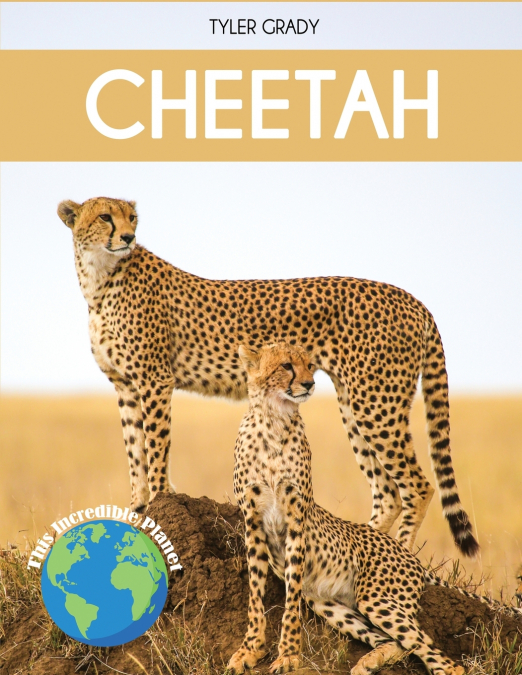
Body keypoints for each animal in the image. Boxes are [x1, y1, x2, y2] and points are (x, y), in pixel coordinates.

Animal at [57, 196, 478, 556]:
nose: (128, 237)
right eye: (105, 217)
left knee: (417, 486)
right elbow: (135, 452)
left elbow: (155, 446)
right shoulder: (125, 385)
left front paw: (162, 500)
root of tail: (413, 299)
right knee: (387, 490)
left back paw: (398, 556)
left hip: (376, 403)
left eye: (132, 218)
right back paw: (361, 547)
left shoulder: (154, 379)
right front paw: (139, 508)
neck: (100, 278)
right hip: (354, 403)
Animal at [228, 342, 520, 675]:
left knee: (439, 657)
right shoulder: (253, 523)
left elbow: (290, 601)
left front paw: (288, 655)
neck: (274, 419)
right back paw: (368, 662)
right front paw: (250, 650)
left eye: (310, 365)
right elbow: (255, 594)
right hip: (329, 604)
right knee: (395, 642)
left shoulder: (295, 521)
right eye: (287, 365)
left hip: (376, 598)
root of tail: (408, 554)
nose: (309, 384)